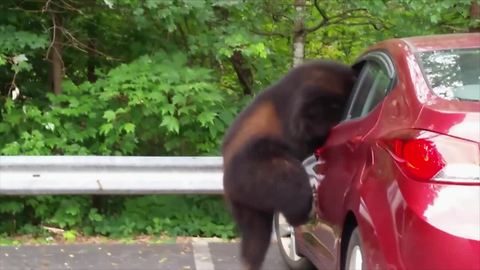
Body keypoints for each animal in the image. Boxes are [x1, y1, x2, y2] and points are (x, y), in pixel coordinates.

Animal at [222, 60, 356, 270]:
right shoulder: (309, 95)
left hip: (247, 204)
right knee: (292, 182)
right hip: (260, 164)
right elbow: (308, 121)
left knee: (255, 234)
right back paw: (303, 213)